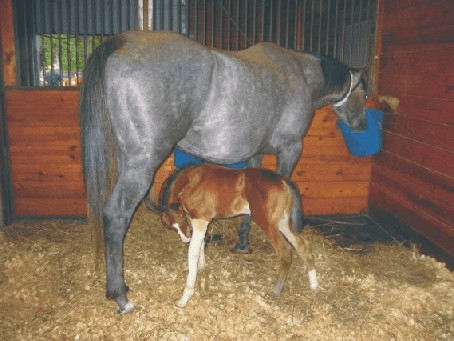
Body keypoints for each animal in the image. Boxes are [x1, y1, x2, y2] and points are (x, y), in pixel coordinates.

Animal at [80, 29, 368, 314]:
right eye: (364, 95)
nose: (362, 126)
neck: (300, 73)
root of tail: (124, 41)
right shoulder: (290, 149)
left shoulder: (255, 155)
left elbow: (248, 208)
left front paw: (242, 244)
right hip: (142, 162)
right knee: (116, 215)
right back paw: (120, 295)